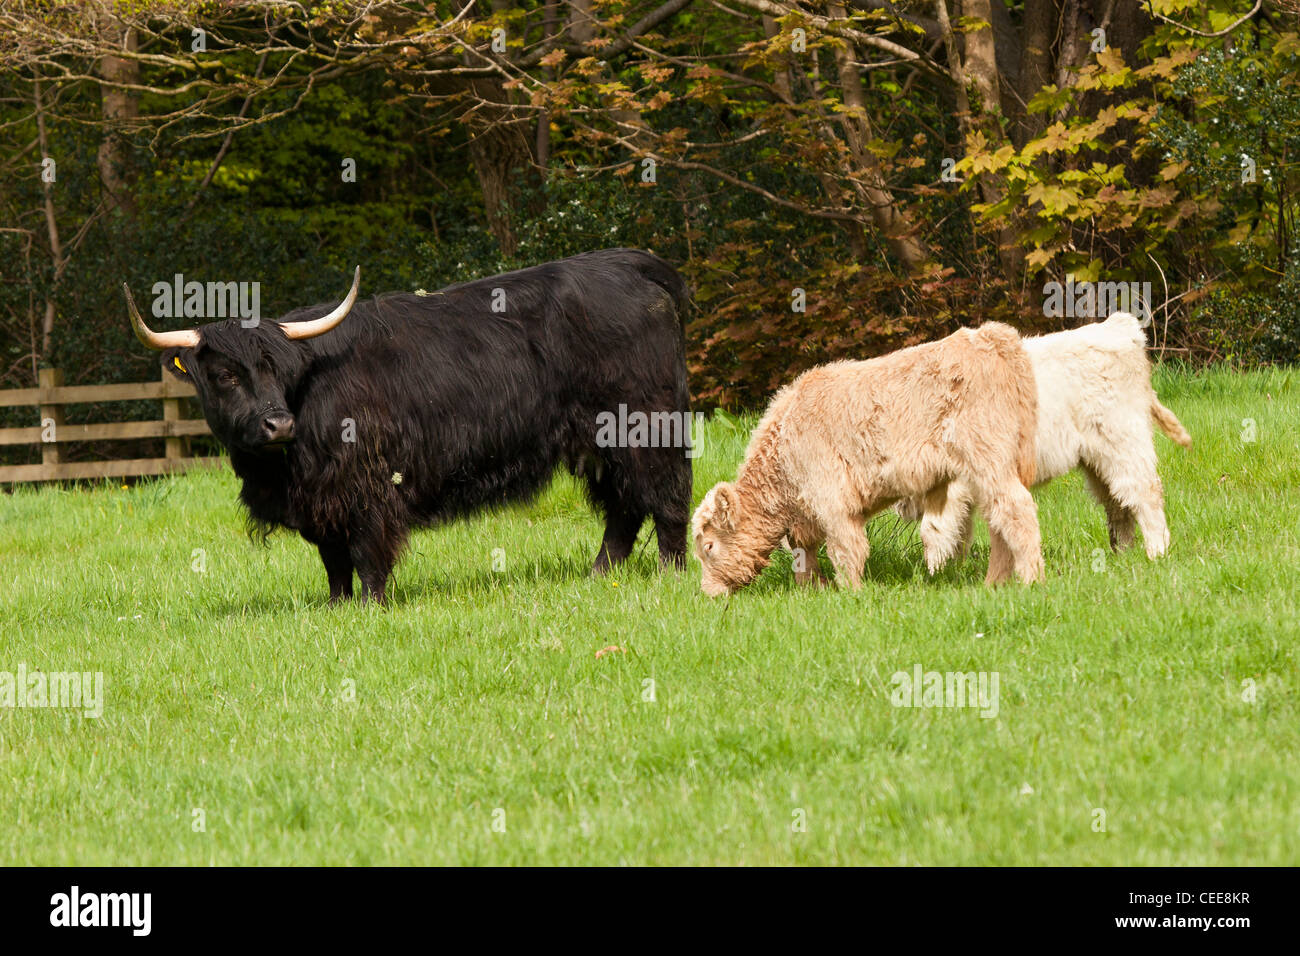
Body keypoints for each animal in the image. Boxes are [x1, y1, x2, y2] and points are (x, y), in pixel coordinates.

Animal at [124, 249, 694, 603]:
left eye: (278, 371)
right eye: (225, 375)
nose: (278, 424)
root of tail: (632, 264)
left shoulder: (366, 483)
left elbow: (366, 549)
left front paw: (370, 605)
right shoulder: (318, 499)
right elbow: (332, 560)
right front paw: (336, 606)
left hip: (647, 426)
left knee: (666, 497)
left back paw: (672, 572)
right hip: (601, 442)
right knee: (623, 506)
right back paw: (601, 575)